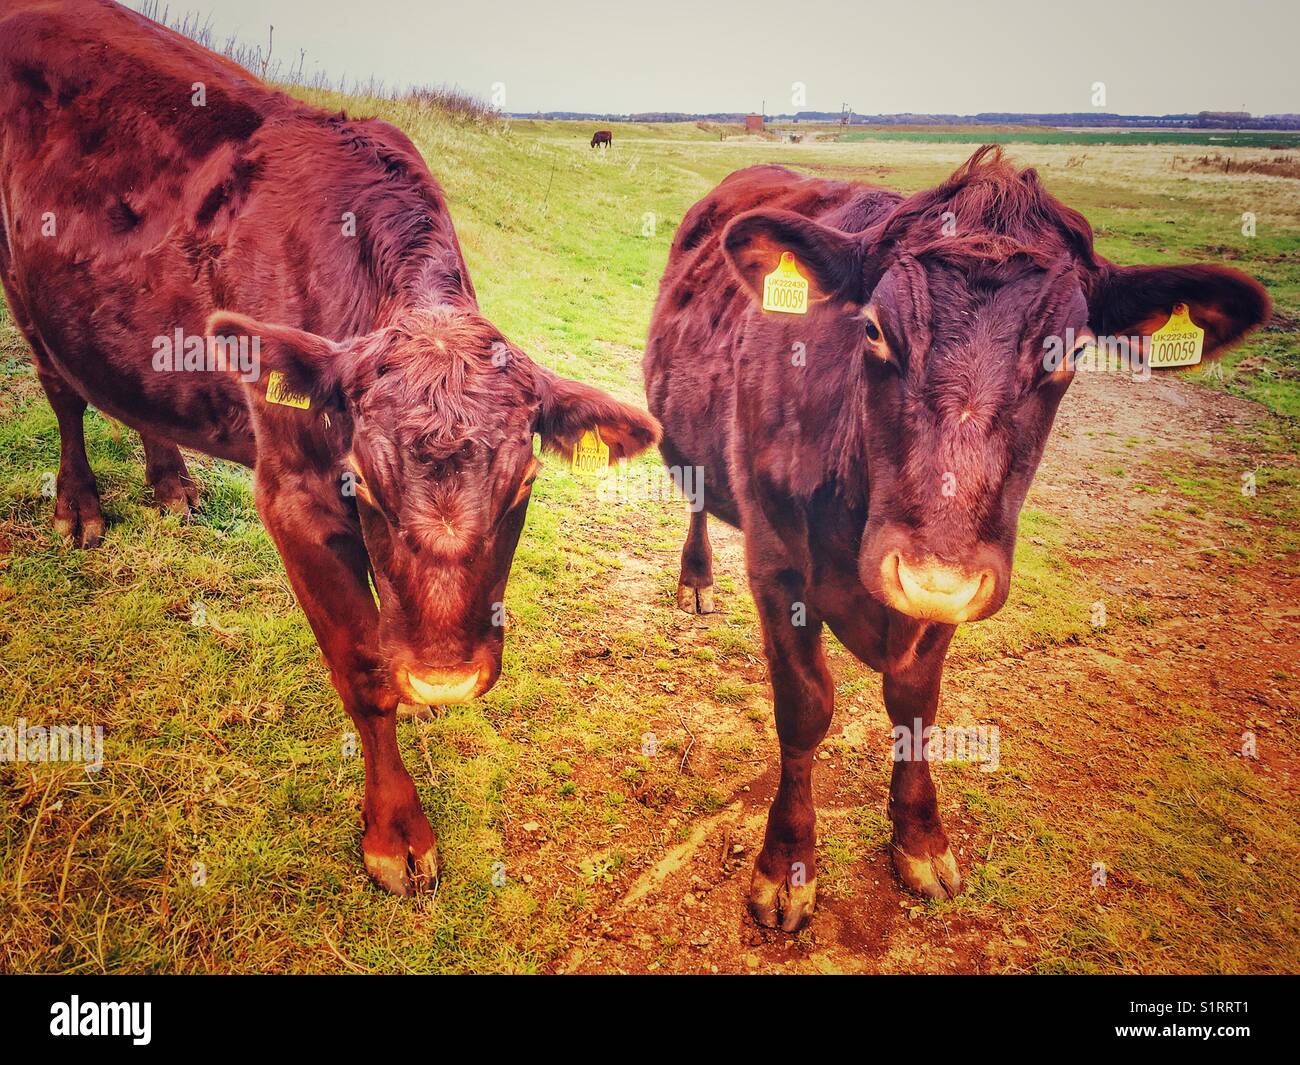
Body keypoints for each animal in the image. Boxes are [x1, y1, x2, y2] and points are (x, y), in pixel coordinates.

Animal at [0, 0, 659, 896]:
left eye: (524, 484)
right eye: (364, 485)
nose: (446, 676)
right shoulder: (294, 497)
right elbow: (365, 667)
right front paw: (396, 831)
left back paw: (171, 483)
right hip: (20, 280)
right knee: (63, 388)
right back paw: (78, 506)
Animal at [643, 149, 1269, 932]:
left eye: (1070, 350)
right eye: (874, 330)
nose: (929, 575)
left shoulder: (959, 580)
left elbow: (915, 701)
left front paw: (919, 839)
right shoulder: (777, 562)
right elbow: (805, 706)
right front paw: (785, 866)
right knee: (697, 493)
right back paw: (696, 578)